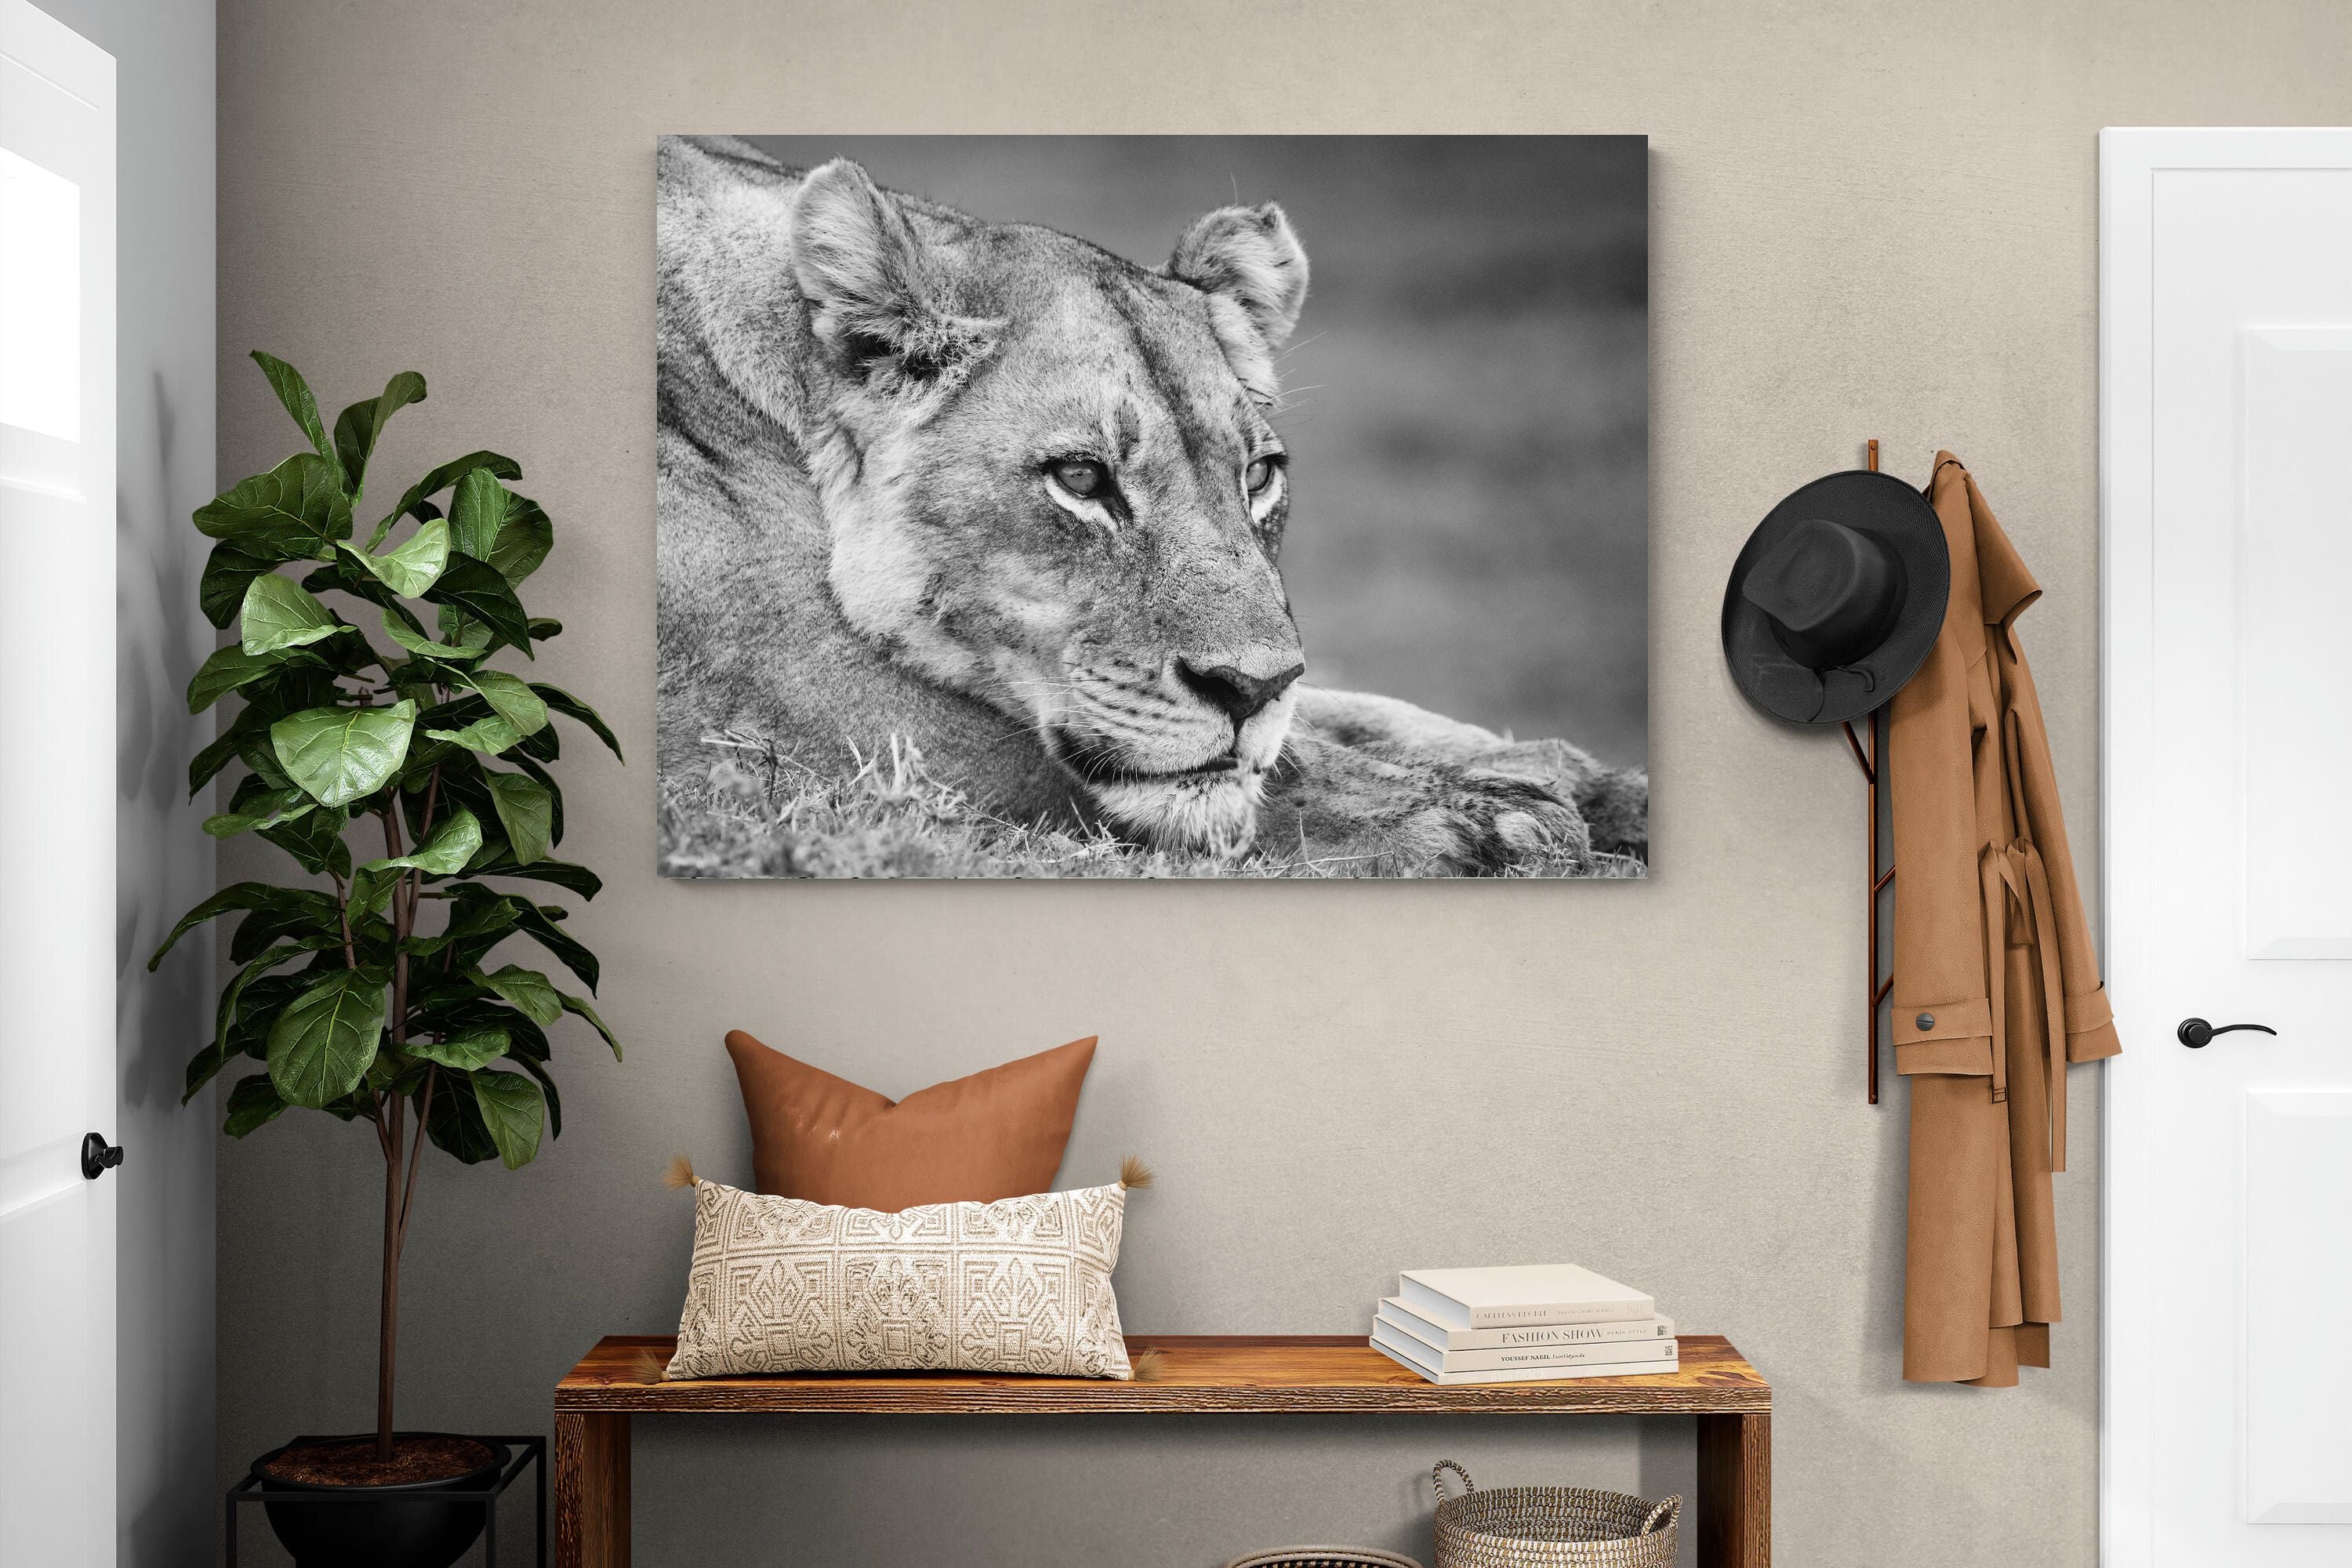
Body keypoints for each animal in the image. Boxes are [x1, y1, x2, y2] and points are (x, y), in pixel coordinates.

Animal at [655, 135, 1646, 875]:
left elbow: (1343, 713)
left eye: (1259, 476)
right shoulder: (808, 711)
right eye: (1082, 478)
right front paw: (1496, 823)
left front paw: (1590, 785)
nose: (1249, 690)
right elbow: (1264, 771)